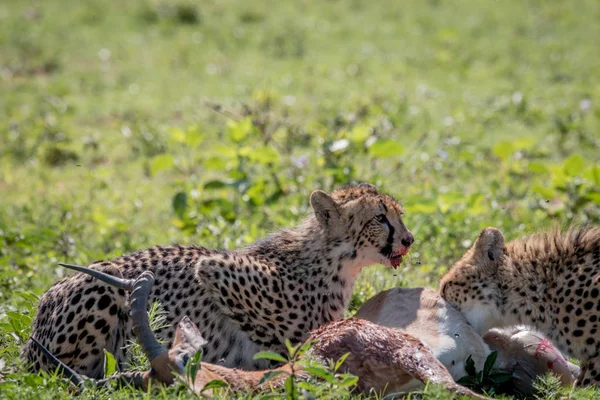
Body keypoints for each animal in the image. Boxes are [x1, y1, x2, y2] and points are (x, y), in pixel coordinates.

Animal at [24, 184, 418, 378]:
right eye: (380, 218)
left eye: (399, 215)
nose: (409, 239)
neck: (332, 261)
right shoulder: (215, 267)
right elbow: (275, 340)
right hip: (103, 289)